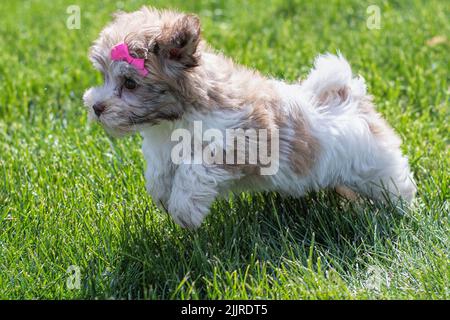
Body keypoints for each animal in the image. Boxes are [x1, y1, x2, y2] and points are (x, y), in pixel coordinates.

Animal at [83, 6, 414, 229]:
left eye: (130, 83)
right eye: (103, 76)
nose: (96, 106)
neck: (175, 118)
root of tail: (349, 95)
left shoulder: (240, 139)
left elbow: (195, 168)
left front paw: (184, 209)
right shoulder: (163, 144)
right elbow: (159, 172)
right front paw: (164, 195)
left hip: (375, 165)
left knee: (395, 184)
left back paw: (403, 211)